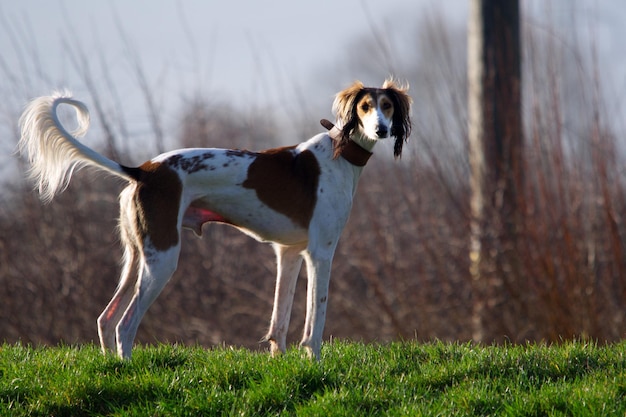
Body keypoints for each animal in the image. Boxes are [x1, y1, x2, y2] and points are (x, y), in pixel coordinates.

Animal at [17, 79, 410, 360]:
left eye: (387, 106)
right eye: (365, 106)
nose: (381, 129)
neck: (339, 154)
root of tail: (142, 171)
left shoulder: (288, 254)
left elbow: (279, 323)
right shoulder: (320, 254)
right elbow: (316, 320)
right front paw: (314, 364)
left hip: (137, 256)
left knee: (106, 319)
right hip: (163, 258)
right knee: (125, 326)